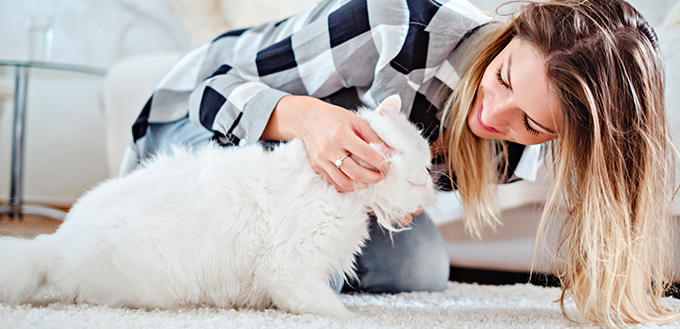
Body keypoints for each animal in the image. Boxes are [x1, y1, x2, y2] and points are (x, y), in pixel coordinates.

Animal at [0, 94, 436, 316]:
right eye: (418, 177)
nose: (433, 188)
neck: (332, 188)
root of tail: (53, 244)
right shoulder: (291, 270)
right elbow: (333, 310)